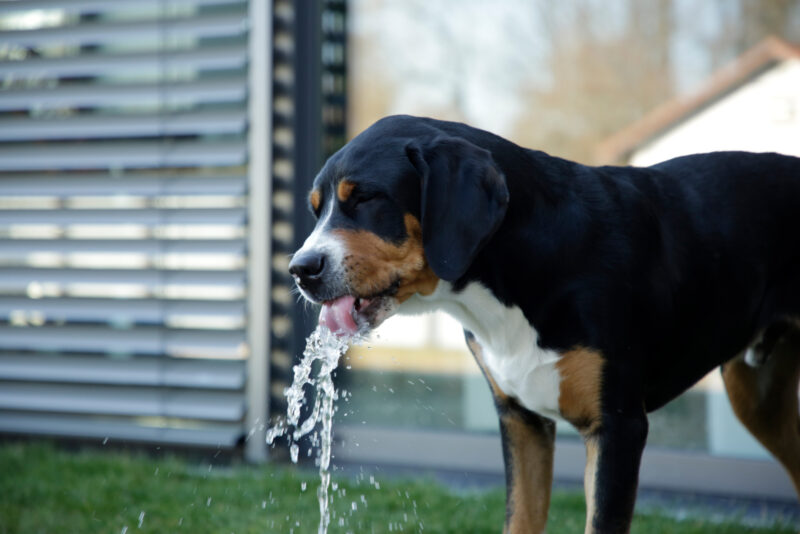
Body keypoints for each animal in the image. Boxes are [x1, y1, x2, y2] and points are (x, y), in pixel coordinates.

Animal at [290, 115, 800, 532]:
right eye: (315, 209)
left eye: (366, 197)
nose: (300, 269)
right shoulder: (522, 421)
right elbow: (521, 517)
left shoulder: (617, 427)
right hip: (756, 395)